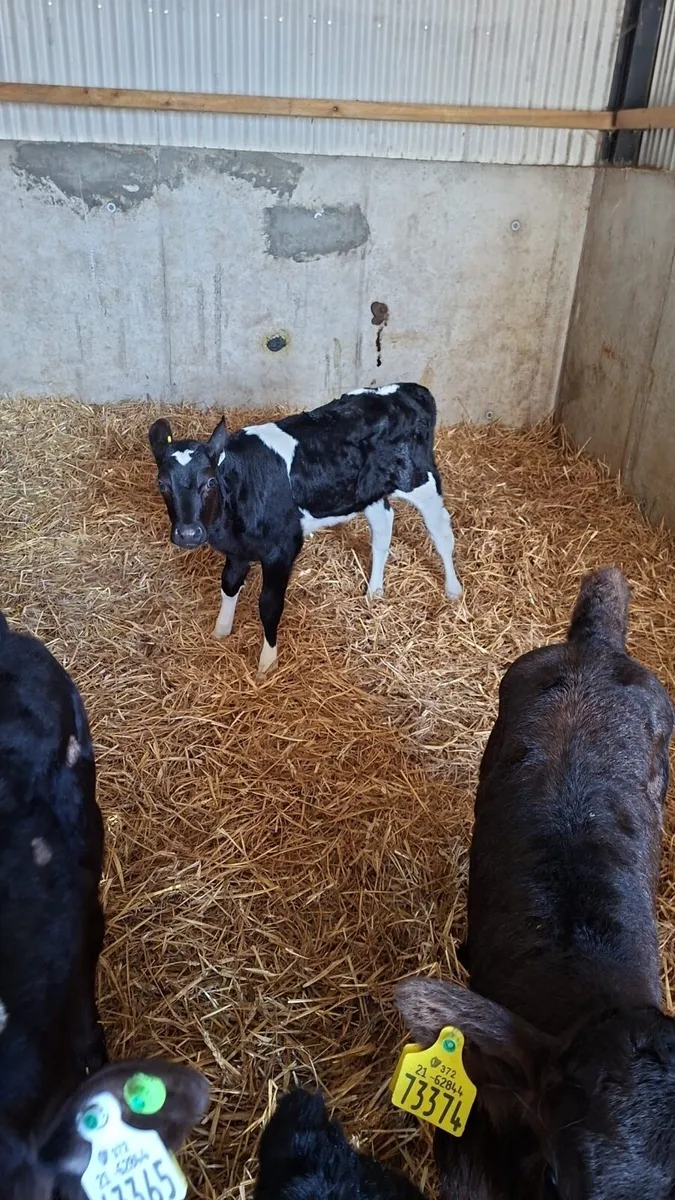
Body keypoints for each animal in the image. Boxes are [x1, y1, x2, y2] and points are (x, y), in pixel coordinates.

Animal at [148, 384, 462, 675]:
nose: (188, 533)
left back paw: (453, 590)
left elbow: (269, 605)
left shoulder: (282, 550)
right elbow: (229, 584)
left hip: (421, 480)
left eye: (210, 482)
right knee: (383, 527)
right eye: (162, 484)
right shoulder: (238, 550)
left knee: (441, 534)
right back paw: (375, 590)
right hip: (367, 491)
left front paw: (268, 663)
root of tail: (410, 389)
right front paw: (221, 630)